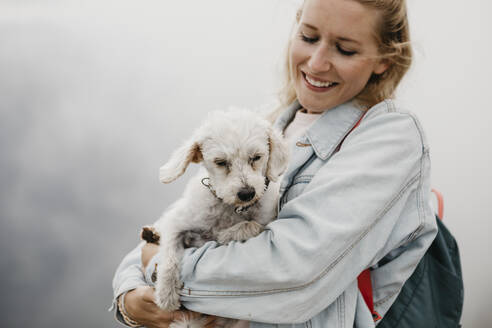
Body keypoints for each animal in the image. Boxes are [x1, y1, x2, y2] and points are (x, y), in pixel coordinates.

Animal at [142, 109, 288, 328]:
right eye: (220, 162)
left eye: (256, 157)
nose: (247, 193)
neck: (230, 208)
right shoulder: (176, 223)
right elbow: (169, 257)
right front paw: (166, 294)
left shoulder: (263, 217)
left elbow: (249, 225)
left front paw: (227, 233)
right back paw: (151, 234)